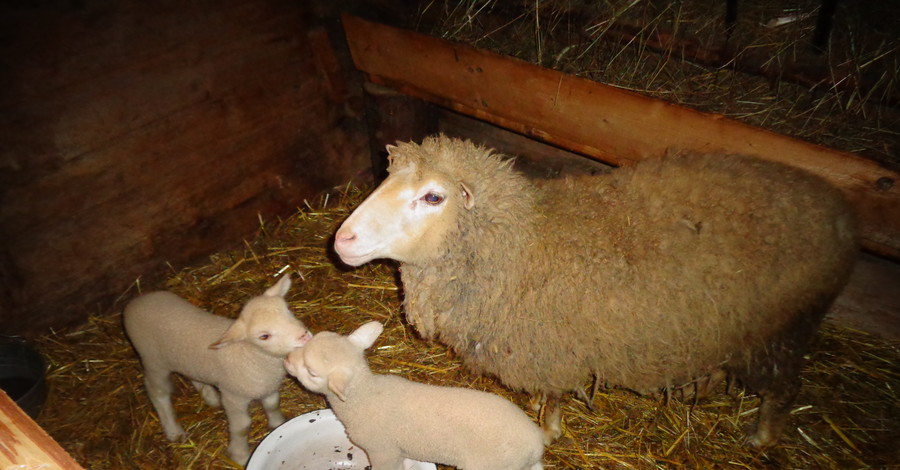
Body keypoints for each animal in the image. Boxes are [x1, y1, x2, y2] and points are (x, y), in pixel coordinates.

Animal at [123, 274, 312, 464]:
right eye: (264, 336)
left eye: (287, 311)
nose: (304, 336)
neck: (250, 354)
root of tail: (135, 303)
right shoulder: (233, 396)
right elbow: (242, 426)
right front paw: (240, 456)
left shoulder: (267, 386)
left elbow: (273, 405)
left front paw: (278, 424)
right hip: (154, 359)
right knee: (157, 391)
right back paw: (173, 430)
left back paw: (210, 396)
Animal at [332, 133, 856, 448]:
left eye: (433, 197)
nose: (342, 239)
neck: (523, 243)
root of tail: (839, 212)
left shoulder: (553, 347)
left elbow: (554, 396)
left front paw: (547, 431)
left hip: (782, 328)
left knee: (785, 388)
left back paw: (761, 438)